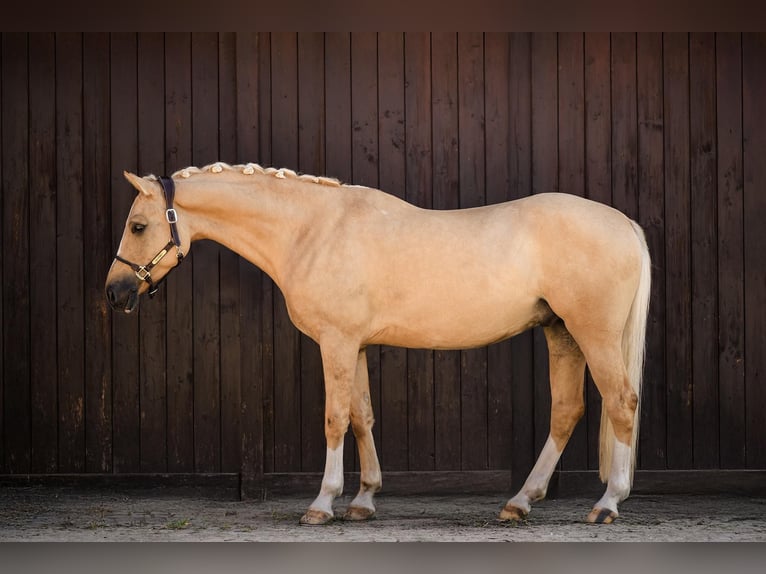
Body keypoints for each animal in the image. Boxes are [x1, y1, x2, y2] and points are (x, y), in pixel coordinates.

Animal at [105, 162, 651, 526]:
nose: (115, 293)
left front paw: (322, 503)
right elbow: (361, 415)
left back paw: (608, 502)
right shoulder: (357, 345)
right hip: (562, 333)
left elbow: (334, 417)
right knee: (567, 411)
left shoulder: (336, 342)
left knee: (622, 402)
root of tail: (624, 222)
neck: (313, 231)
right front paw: (363, 500)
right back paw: (520, 501)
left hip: (593, 334)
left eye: (138, 225)